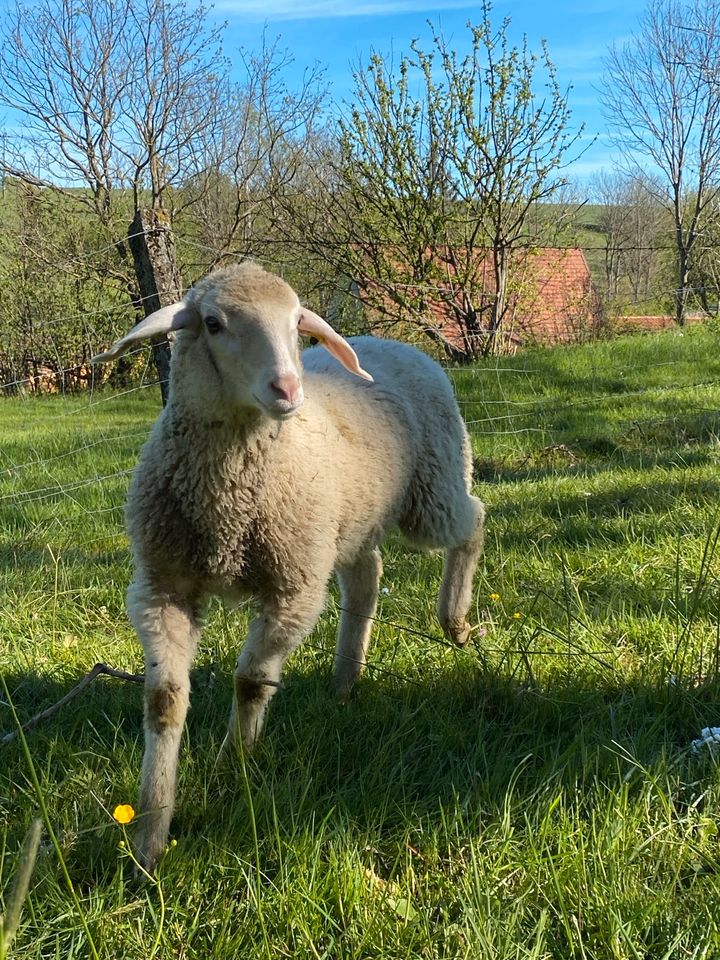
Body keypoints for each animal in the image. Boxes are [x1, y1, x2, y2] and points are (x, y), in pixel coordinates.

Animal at [90, 260, 484, 872]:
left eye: (297, 321)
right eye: (212, 323)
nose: (287, 389)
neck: (228, 501)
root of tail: (391, 342)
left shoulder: (294, 588)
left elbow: (252, 681)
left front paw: (234, 762)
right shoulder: (162, 587)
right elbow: (164, 701)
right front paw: (150, 836)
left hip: (432, 486)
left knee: (473, 520)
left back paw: (456, 621)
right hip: (349, 519)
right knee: (367, 576)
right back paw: (345, 680)